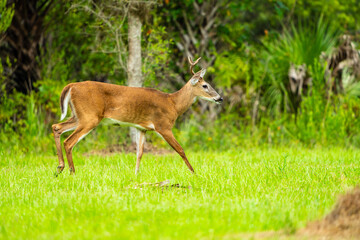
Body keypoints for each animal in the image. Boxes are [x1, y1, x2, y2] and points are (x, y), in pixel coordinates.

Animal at [51, 56, 222, 176]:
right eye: (205, 85)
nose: (220, 98)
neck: (173, 103)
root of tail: (71, 86)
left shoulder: (142, 128)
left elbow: (139, 153)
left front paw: (136, 174)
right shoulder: (163, 125)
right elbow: (180, 150)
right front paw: (194, 173)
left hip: (79, 116)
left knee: (56, 127)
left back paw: (60, 167)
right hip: (89, 118)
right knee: (69, 141)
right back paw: (72, 172)